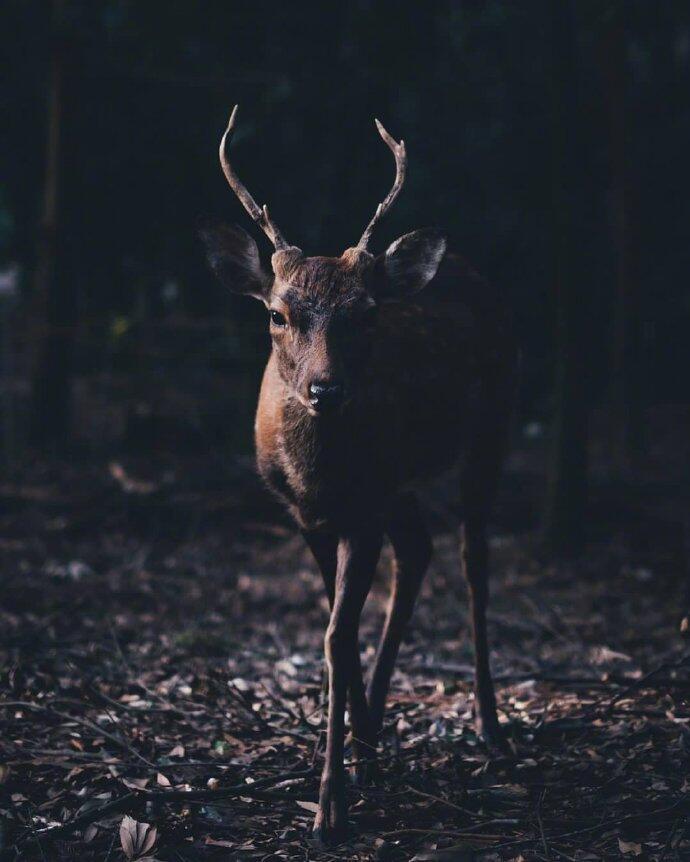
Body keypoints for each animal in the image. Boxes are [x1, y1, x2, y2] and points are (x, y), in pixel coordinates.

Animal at [199, 106, 516, 844]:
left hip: (490, 428)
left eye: (367, 313)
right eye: (277, 313)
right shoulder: (313, 516)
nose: (327, 389)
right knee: (419, 550)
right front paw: (359, 753)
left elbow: (338, 635)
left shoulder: (361, 510)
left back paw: (491, 727)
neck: (319, 475)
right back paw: (378, 735)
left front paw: (330, 808)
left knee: (473, 563)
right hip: (401, 484)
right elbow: (334, 632)